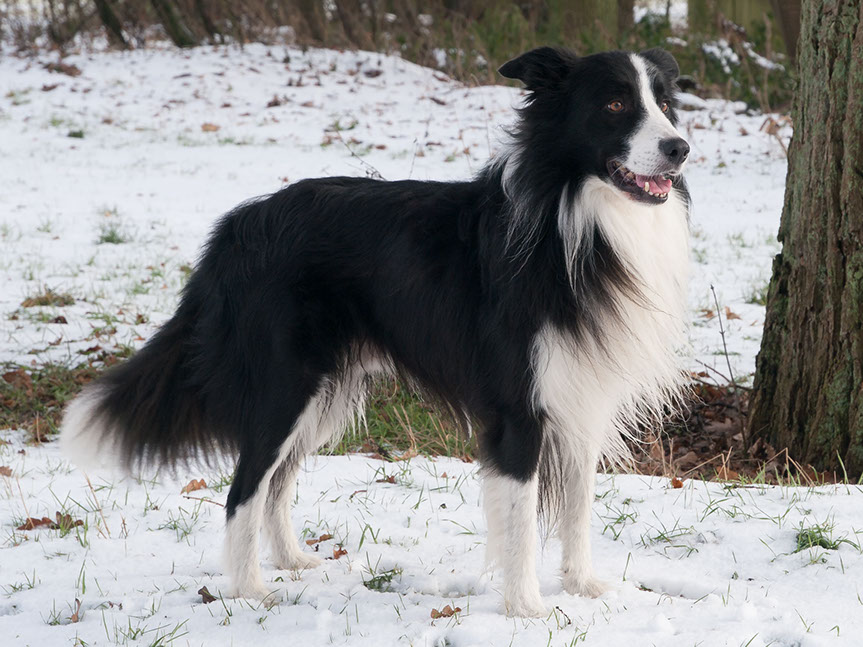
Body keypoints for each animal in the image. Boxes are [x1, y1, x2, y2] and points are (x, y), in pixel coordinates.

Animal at [61, 46, 690, 617]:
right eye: (614, 104)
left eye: (664, 105)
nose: (681, 149)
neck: (573, 218)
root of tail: (238, 227)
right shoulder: (519, 409)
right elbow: (521, 519)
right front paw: (528, 610)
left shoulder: (582, 397)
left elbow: (579, 506)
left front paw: (583, 588)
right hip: (285, 385)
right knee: (243, 487)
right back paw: (250, 591)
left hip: (324, 394)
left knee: (277, 481)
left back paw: (292, 560)